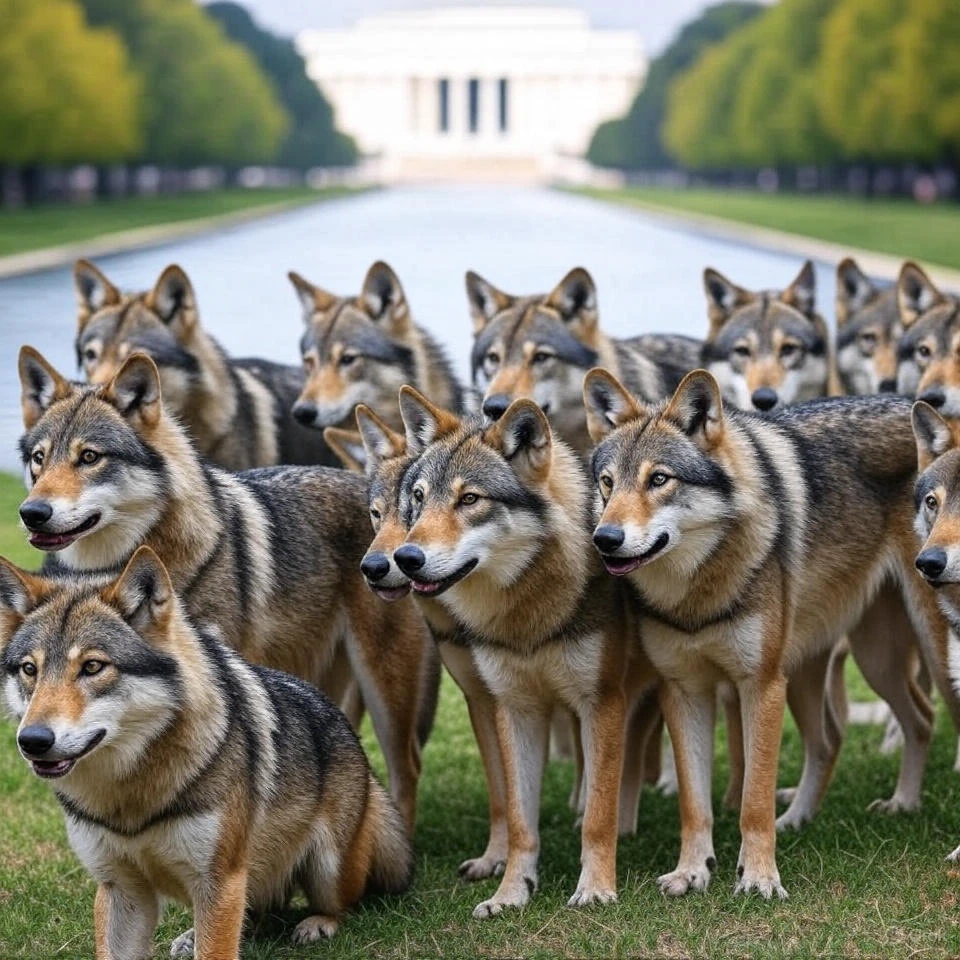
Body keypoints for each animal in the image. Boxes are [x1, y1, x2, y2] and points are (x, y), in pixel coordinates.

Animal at [0, 546, 412, 958]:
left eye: (92, 666)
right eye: (29, 670)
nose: (33, 740)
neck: (130, 800)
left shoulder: (220, 881)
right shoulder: (120, 888)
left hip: (329, 868)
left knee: (339, 905)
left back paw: (317, 924)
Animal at [387, 388, 658, 917]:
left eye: (470, 499)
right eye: (419, 498)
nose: (405, 559)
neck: (527, 616)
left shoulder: (602, 702)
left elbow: (597, 816)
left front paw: (596, 888)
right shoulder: (515, 710)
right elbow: (518, 822)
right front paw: (511, 892)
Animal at [583, 369, 953, 899]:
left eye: (659, 479)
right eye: (607, 484)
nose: (605, 539)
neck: (699, 595)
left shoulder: (760, 686)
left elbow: (753, 800)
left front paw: (759, 878)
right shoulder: (685, 692)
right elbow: (695, 805)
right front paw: (692, 872)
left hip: (926, 655)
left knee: (919, 718)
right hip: (852, 662)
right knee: (885, 727)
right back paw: (858, 809)